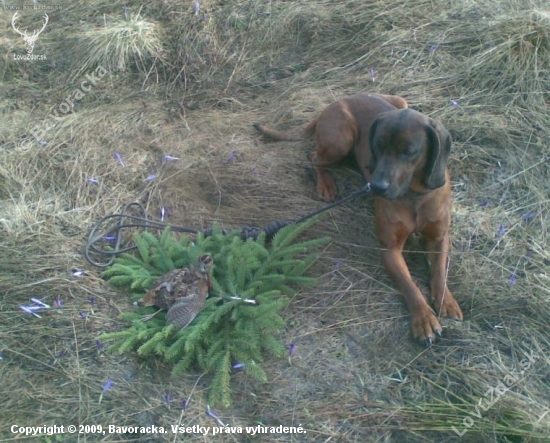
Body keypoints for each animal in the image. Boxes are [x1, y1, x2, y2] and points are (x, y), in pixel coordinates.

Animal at [256, 92, 464, 346]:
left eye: (408, 151)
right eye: (377, 145)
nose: (376, 186)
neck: (413, 195)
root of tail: (333, 104)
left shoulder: (439, 238)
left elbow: (440, 272)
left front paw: (446, 301)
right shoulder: (389, 249)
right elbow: (410, 286)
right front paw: (424, 319)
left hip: (399, 101)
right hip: (341, 139)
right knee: (314, 157)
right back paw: (325, 183)